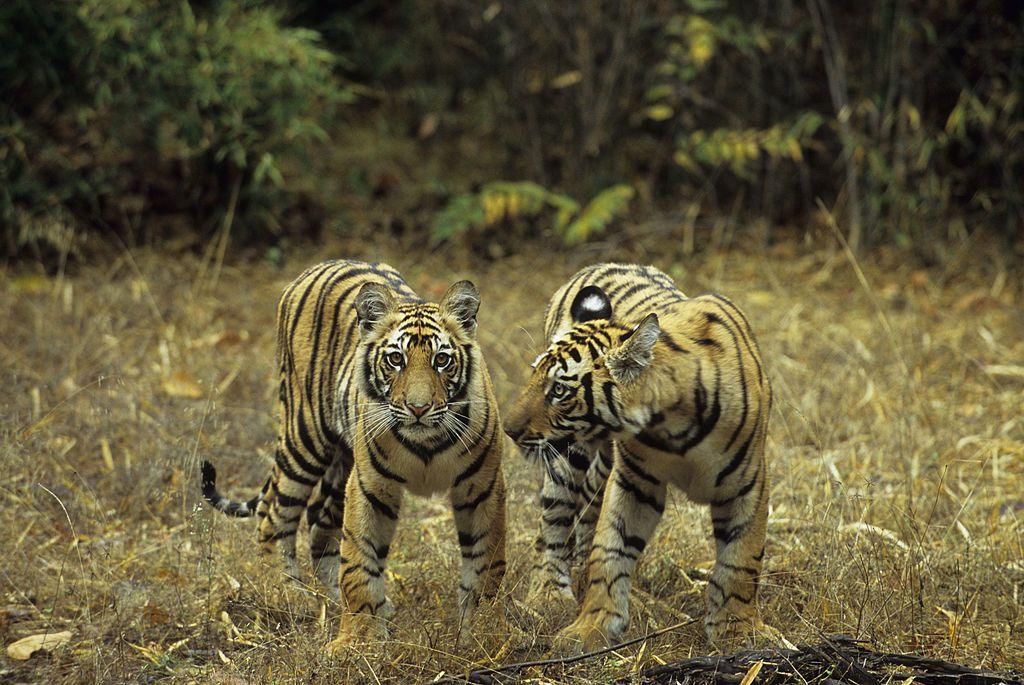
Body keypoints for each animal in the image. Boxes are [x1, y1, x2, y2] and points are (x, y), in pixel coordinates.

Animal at [198, 259, 503, 651]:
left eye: (442, 360)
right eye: (396, 359)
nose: (418, 408)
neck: (427, 442)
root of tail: (316, 266)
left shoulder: (482, 487)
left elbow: (487, 563)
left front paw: (483, 632)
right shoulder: (370, 486)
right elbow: (359, 561)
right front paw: (356, 641)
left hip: (341, 462)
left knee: (318, 524)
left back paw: (334, 598)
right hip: (305, 437)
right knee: (274, 514)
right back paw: (284, 593)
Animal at [503, 260, 770, 647]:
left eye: (559, 391)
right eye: (534, 376)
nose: (508, 429)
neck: (671, 425)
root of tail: (599, 263)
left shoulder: (746, 483)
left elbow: (741, 559)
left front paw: (739, 629)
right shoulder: (634, 482)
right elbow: (610, 551)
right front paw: (592, 627)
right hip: (567, 457)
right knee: (553, 523)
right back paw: (549, 595)